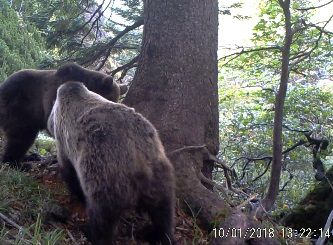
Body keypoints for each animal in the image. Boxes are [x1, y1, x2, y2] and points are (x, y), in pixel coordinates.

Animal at [47, 81, 175, 244]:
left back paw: (92, 233)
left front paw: (78, 194)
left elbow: (69, 173)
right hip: (159, 169)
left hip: (105, 169)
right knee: (163, 208)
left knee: (103, 212)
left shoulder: (65, 142)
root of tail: (138, 156)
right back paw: (158, 234)